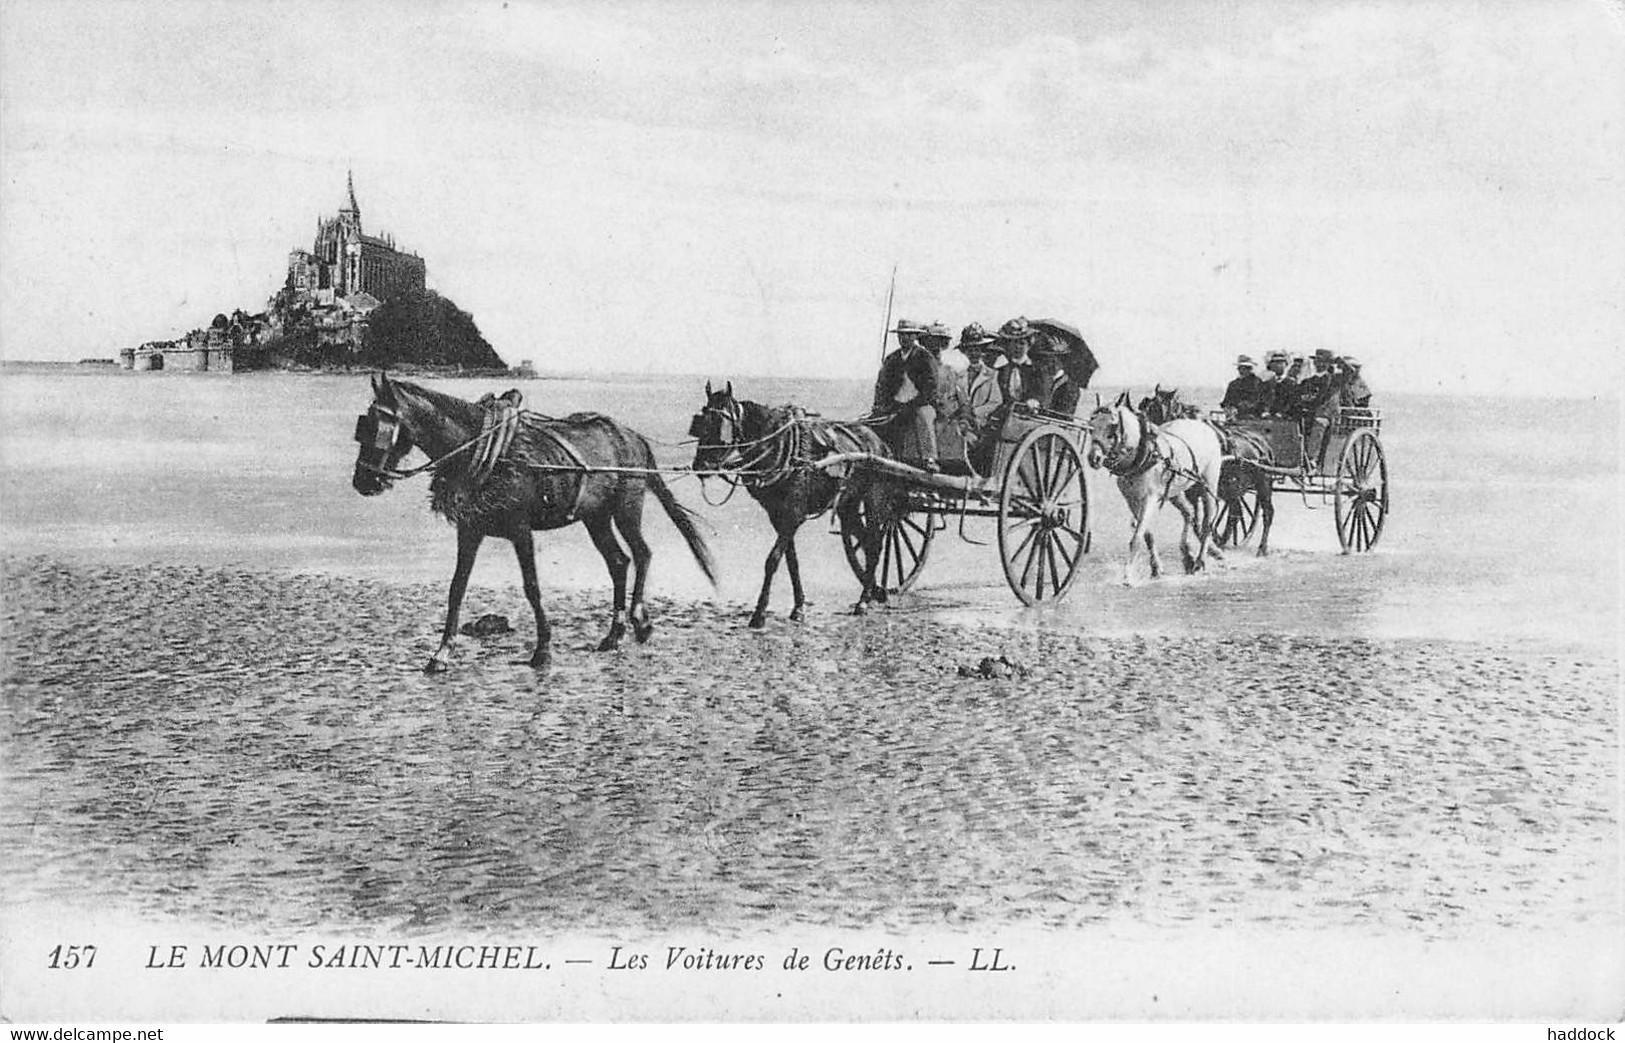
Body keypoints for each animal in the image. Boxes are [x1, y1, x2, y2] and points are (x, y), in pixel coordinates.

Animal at [355, 370, 718, 669]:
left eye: (377, 427)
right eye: (363, 427)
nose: (362, 481)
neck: (485, 451)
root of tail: (632, 436)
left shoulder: (520, 531)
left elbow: (532, 588)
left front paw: (543, 649)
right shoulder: (470, 530)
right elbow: (457, 588)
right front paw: (442, 652)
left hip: (626, 508)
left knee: (641, 554)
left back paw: (640, 621)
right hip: (596, 517)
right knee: (618, 561)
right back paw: (614, 633)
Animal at [685, 381, 903, 623]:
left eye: (720, 425)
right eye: (700, 423)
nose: (701, 466)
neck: (778, 446)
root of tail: (879, 443)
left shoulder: (793, 515)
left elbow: (772, 560)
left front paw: (759, 613)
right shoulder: (777, 516)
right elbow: (791, 562)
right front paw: (798, 607)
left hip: (874, 500)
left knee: (874, 544)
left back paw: (864, 600)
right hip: (848, 505)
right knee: (866, 541)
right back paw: (876, 591)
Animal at [1085, 388, 1222, 578]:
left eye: (1113, 425)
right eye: (1091, 425)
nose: (1094, 458)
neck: (1142, 453)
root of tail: (1204, 427)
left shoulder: (1149, 497)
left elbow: (1137, 537)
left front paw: (1128, 576)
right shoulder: (1132, 501)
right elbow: (1147, 534)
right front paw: (1156, 567)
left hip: (1207, 485)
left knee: (1207, 522)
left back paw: (1200, 560)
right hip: (1174, 491)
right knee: (1188, 514)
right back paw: (1187, 555)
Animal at [1137, 383, 1274, 552]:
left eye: (1156, 409)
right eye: (1144, 407)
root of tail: (1264, 444)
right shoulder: (1193, 492)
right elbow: (1196, 519)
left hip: (1261, 484)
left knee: (1266, 513)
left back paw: (1262, 548)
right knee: (1236, 511)